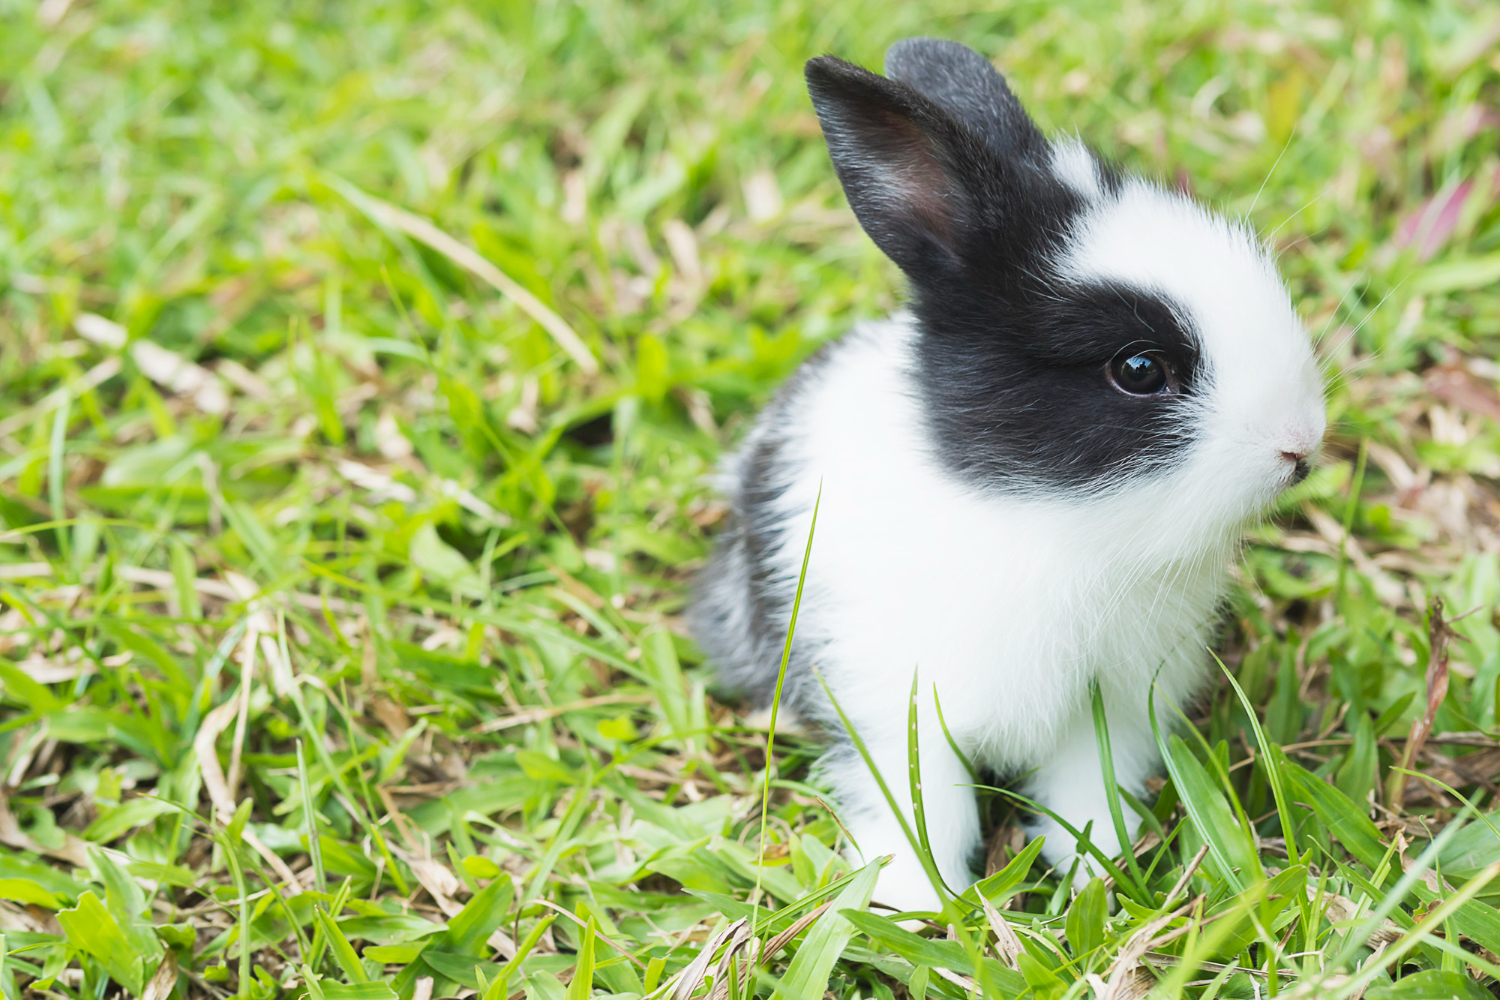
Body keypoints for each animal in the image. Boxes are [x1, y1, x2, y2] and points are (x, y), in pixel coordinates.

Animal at [687, 39, 1326, 917]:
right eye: (1139, 370)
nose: (1301, 443)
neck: (1050, 522)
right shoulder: (896, 714)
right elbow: (921, 810)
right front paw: (917, 907)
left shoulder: (1109, 711)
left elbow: (1087, 795)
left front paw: (1101, 877)